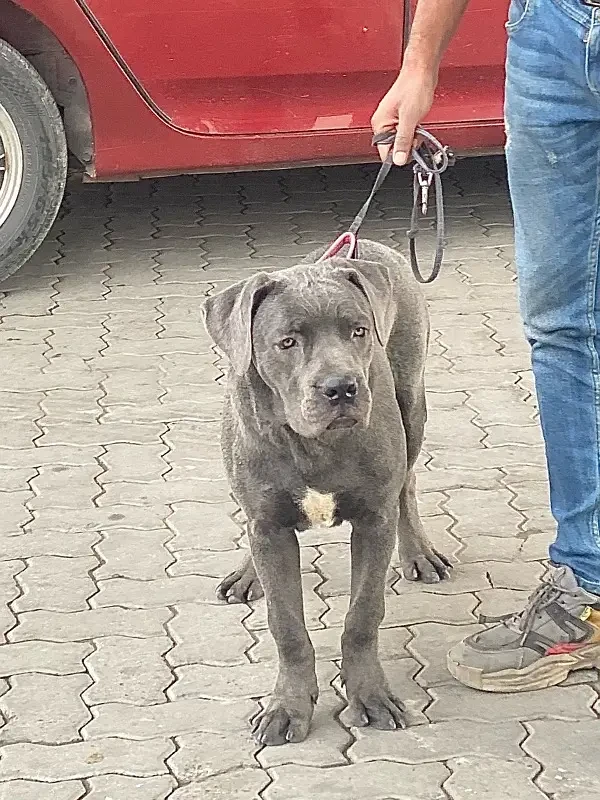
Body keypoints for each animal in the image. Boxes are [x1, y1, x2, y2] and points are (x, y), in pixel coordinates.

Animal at [203, 241, 450, 748]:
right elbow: (286, 625)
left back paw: (419, 553)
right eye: (287, 342)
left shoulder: (374, 521)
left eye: (358, 331)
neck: (309, 443)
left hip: (412, 402)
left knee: (408, 484)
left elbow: (362, 616)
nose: (341, 388)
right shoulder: (269, 525)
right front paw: (288, 707)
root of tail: (369, 244)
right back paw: (247, 573)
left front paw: (370, 697)